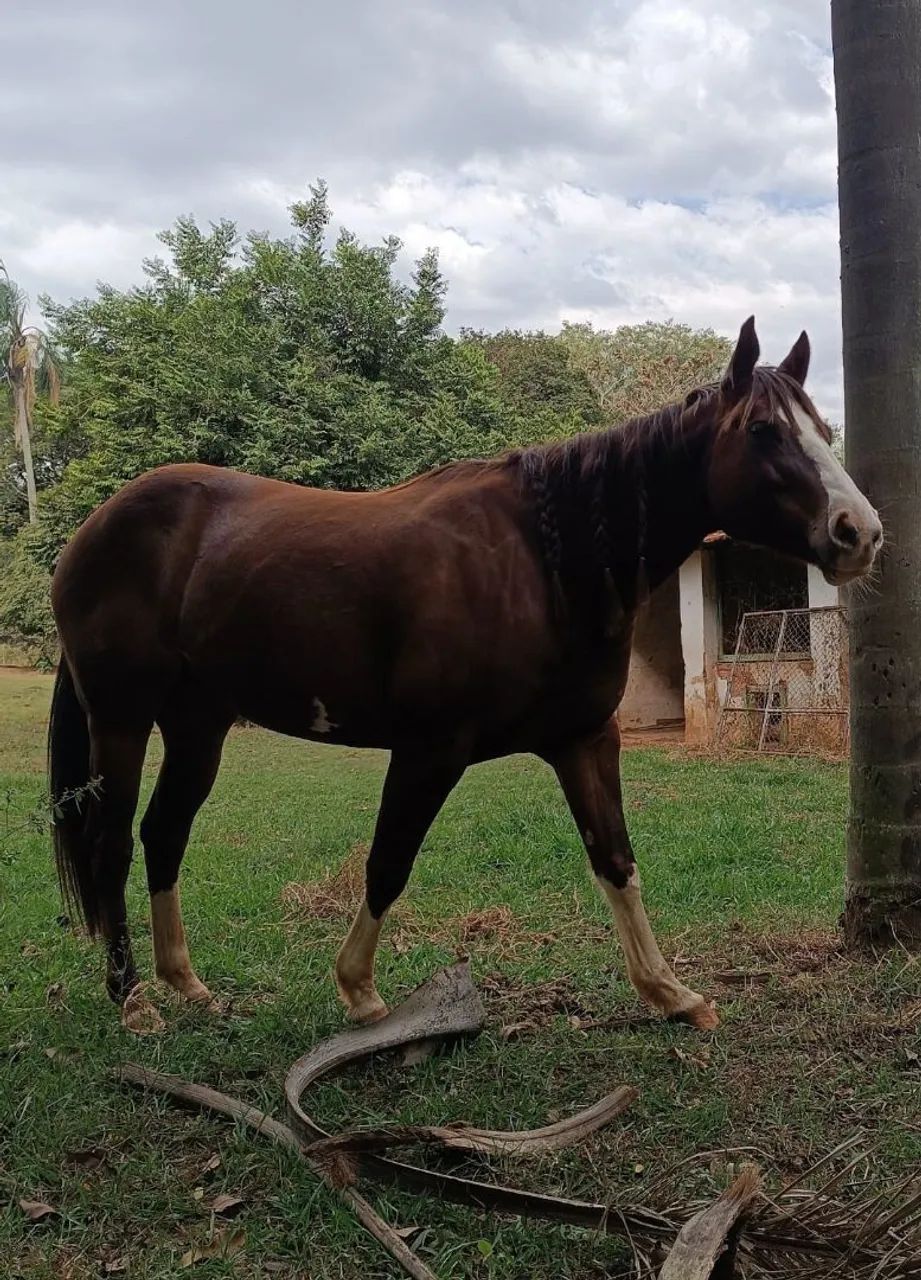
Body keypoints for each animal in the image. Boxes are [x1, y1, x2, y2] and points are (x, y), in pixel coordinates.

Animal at [48, 318, 882, 1033]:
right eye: (763, 431)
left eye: (823, 431)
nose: (860, 533)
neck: (548, 559)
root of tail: (96, 527)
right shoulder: (429, 751)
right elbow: (388, 861)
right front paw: (358, 990)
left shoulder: (583, 741)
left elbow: (615, 860)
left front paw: (668, 993)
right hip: (121, 720)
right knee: (111, 841)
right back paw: (131, 999)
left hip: (200, 724)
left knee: (163, 832)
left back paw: (185, 983)